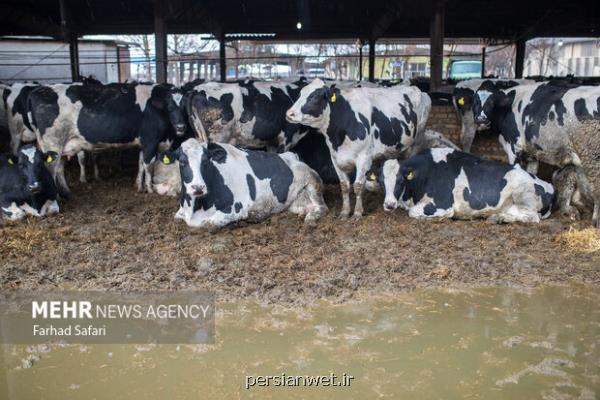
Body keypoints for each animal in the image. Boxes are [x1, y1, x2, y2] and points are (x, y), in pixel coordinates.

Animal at [26, 83, 188, 197]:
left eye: (184, 107)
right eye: (169, 107)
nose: (181, 126)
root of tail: (38, 91)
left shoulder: (144, 143)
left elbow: (140, 163)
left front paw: (139, 186)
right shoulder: (150, 141)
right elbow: (148, 165)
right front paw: (149, 188)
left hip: (59, 146)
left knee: (59, 169)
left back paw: (66, 192)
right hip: (52, 144)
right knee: (52, 171)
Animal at [161, 139, 328, 230]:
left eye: (206, 161)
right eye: (182, 162)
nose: (198, 187)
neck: (194, 208)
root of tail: (291, 155)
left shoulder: (236, 209)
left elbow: (209, 223)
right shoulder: (180, 213)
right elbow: (177, 217)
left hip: (313, 180)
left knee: (322, 208)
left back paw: (310, 219)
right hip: (295, 203)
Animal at [286, 78, 432, 219]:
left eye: (315, 97)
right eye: (299, 94)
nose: (289, 113)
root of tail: (414, 87)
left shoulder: (364, 158)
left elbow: (358, 186)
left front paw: (357, 213)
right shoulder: (335, 158)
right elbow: (344, 186)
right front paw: (345, 212)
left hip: (417, 141)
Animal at [372, 147, 556, 223]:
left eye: (401, 180)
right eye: (381, 182)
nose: (389, 205)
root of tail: (548, 185)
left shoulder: (443, 204)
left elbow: (413, 213)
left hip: (522, 192)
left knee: (532, 218)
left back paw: (501, 218)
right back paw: (498, 217)